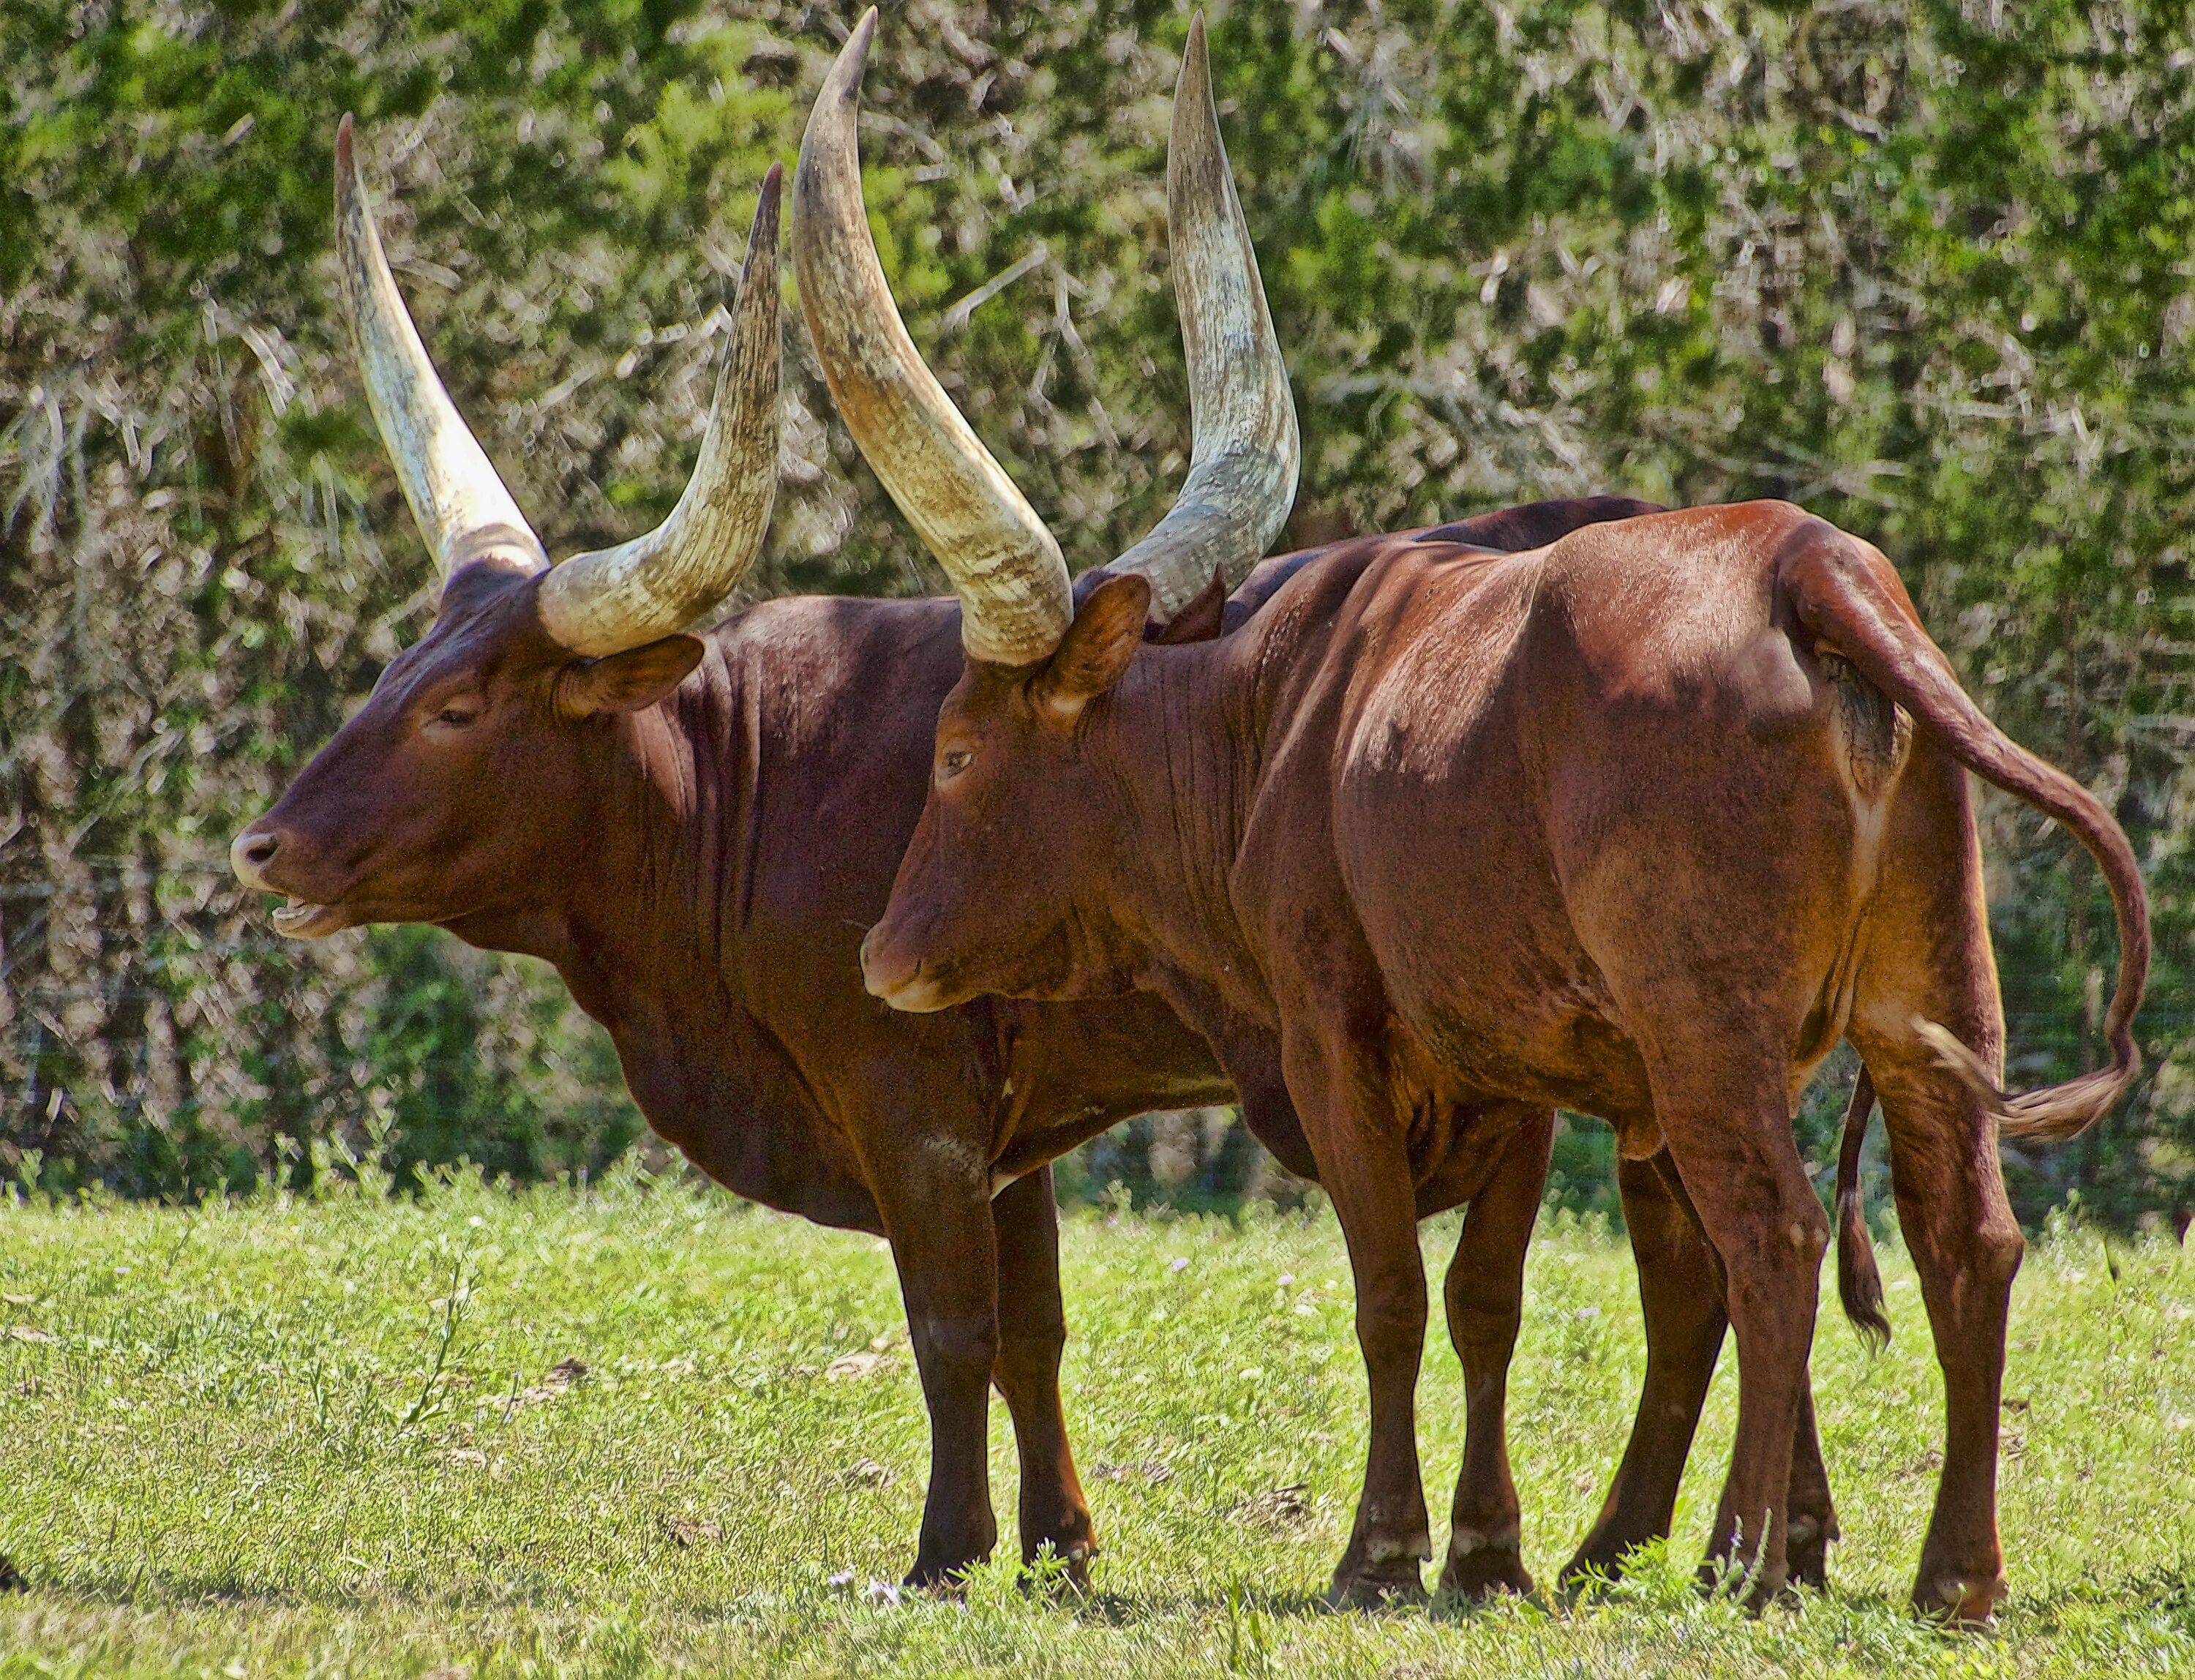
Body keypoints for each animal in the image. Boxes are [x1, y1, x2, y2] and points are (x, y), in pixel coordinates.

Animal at [227, 85, 1730, 1589]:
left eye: (460, 708)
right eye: (394, 672)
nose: (262, 849)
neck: (749, 781)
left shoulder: (918, 1100)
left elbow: (956, 1326)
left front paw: (949, 1550)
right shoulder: (1013, 1126)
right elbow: (1033, 1331)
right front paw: (1063, 1546)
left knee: (1694, 1274)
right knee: (1697, 1275)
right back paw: (1642, 1546)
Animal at [808, 26, 2142, 1616]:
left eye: (954, 753)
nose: (882, 954)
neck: (1278, 712)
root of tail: (1809, 567)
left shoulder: (1335, 1037)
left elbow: (1394, 1291)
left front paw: (1384, 1548)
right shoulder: (1514, 1068)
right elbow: (1485, 1300)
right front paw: (1487, 1549)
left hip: (1709, 1027)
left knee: (1773, 1237)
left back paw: (1743, 1559)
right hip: (1926, 994)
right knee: (1966, 1240)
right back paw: (1951, 1574)